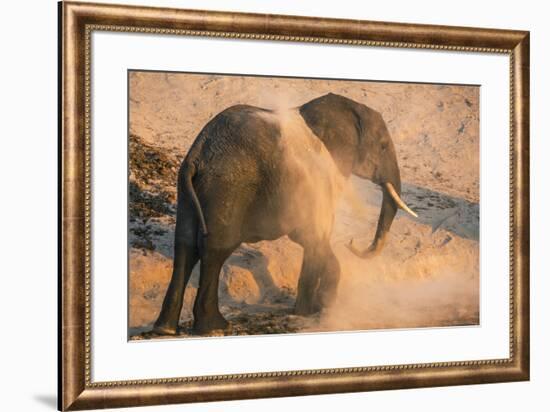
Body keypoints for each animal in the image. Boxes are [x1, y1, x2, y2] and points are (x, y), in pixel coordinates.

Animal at [152, 92, 418, 334]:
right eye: (383, 146)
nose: (352, 243)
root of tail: (198, 153)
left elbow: (310, 238)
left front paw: (311, 309)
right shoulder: (317, 178)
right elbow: (313, 235)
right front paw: (318, 309)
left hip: (189, 189)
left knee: (185, 245)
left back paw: (166, 329)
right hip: (228, 185)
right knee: (214, 249)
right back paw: (214, 326)